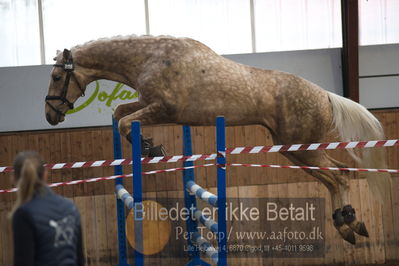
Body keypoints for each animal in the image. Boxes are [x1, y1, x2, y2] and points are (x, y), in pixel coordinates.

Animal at [45, 35, 392, 245]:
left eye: (57, 77)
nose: (50, 115)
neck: (151, 58)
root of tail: (325, 95)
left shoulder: (162, 108)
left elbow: (125, 122)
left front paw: (150, 147)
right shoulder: (149, 104)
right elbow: (120, 113)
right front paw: (149, 145)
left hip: (302, 149)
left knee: (338, 176)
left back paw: (348, 225)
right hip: (294, 150)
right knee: (336, 176)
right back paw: (348, 225)